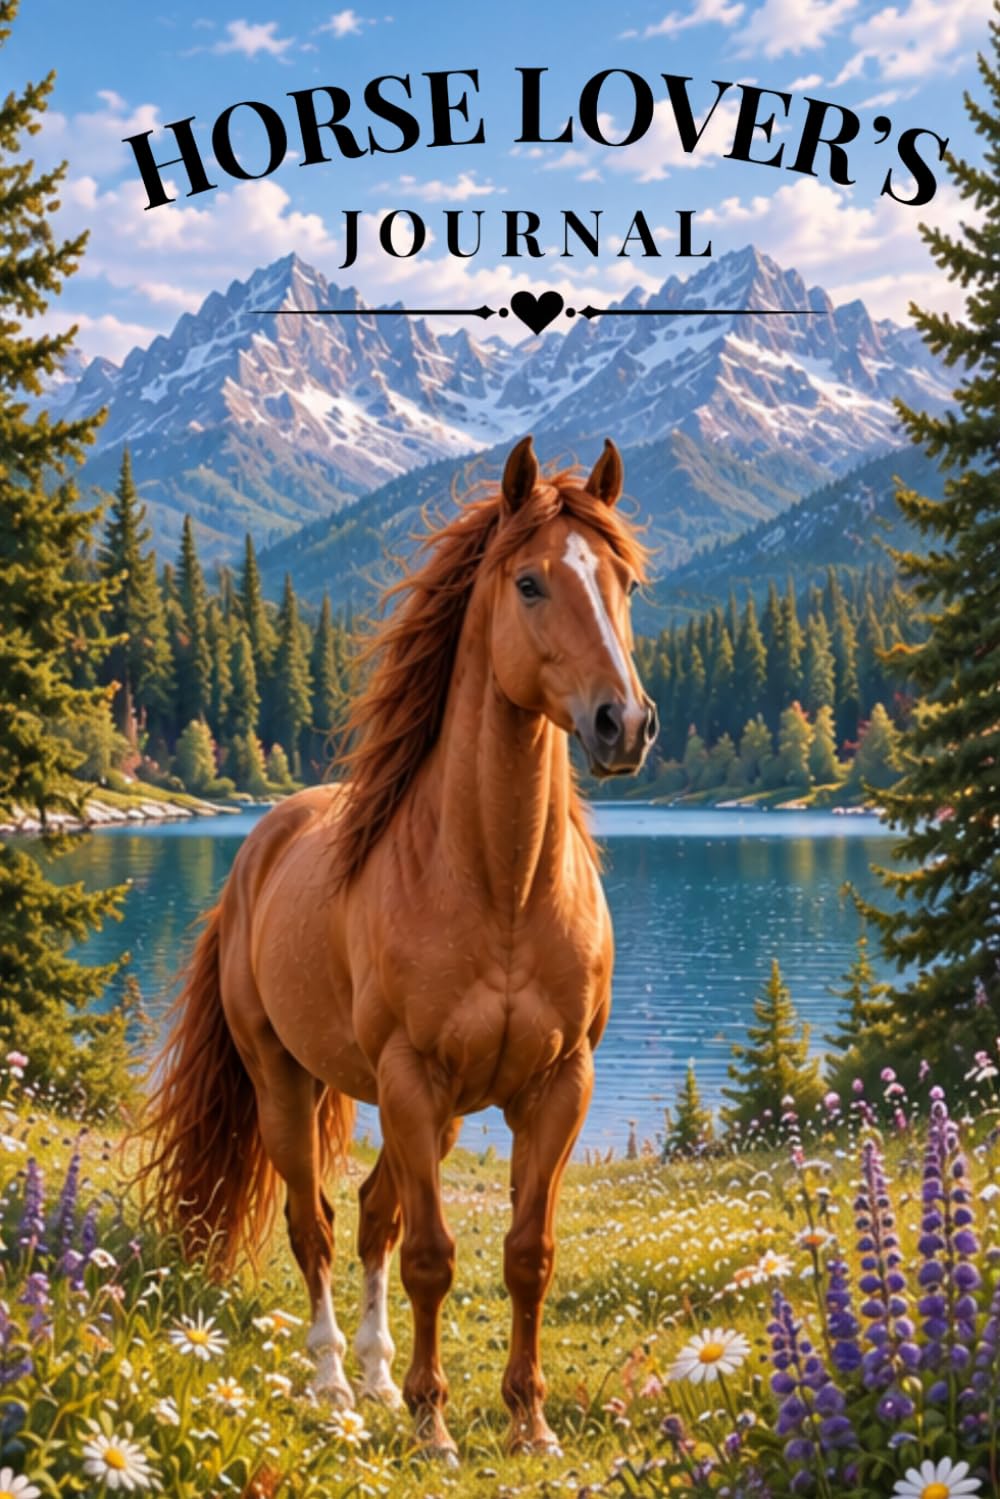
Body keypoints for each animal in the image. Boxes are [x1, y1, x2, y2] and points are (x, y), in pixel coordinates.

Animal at [144, 434, 658, 1462]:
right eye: (531, 582)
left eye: (624, 580)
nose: (623, 724)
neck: (500, 887)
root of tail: (259, 845)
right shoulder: (413, 1076)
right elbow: (431, 1256)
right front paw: (435, 1427)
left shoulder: (557, 1084)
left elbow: (525, 1255)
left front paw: (528, 1421)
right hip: (286, 1082)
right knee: (317, 1223)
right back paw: (336, 1382)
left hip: (437, 1108)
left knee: (373, 1215)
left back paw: (378, 1379)